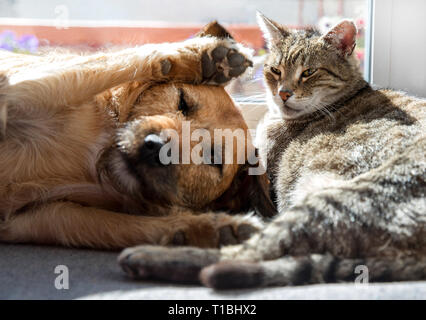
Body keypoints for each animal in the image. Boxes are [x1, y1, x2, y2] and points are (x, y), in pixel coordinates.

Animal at [0, 22, 276, 250]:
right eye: (183, 102)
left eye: (213, 158)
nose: (155, 147)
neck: (96, 160)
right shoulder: (13, 88)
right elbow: (100, 65)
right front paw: (200, 57)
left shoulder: (35, 217)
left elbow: (118, 226)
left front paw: (209, 229)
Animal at [117, 12, 426, 288]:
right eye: (276, 70)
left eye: (309, 72)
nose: (284, 93)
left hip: (336, 199)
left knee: (239, 255)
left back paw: (148, 257)